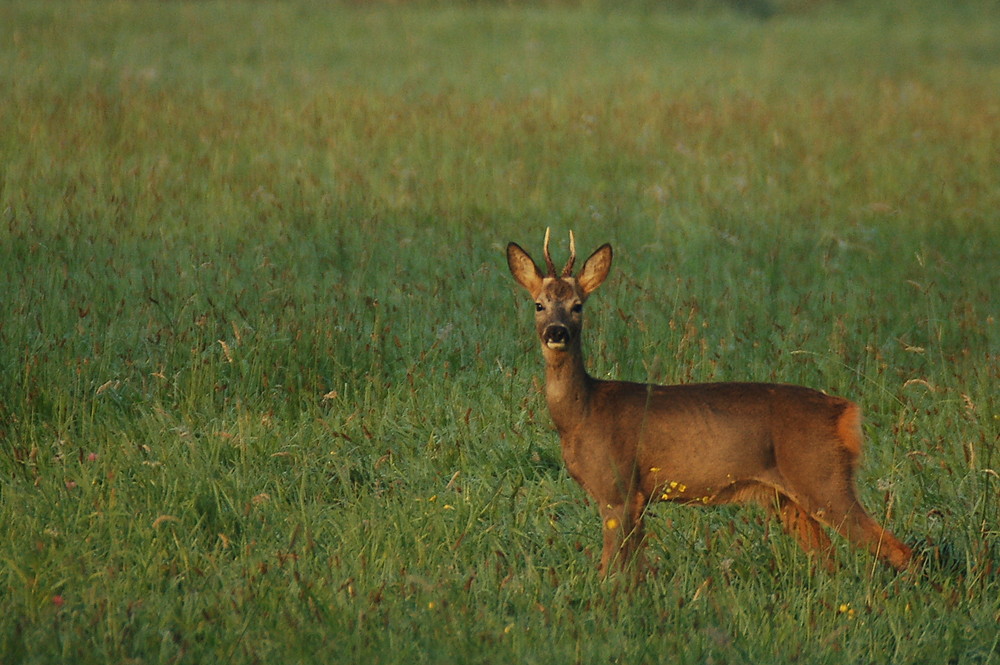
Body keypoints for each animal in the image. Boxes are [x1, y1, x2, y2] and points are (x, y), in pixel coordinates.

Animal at [508, 230, 916, 576]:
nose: (557, 332)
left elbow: (612, 569)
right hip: (786, 498)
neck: (582, 413)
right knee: (829, 559)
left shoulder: (617, 486)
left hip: (822, 475)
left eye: (578, 305)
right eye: (538, 304)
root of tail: (846, 411)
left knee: (896, 549)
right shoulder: (635, 496)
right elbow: (635, 570)